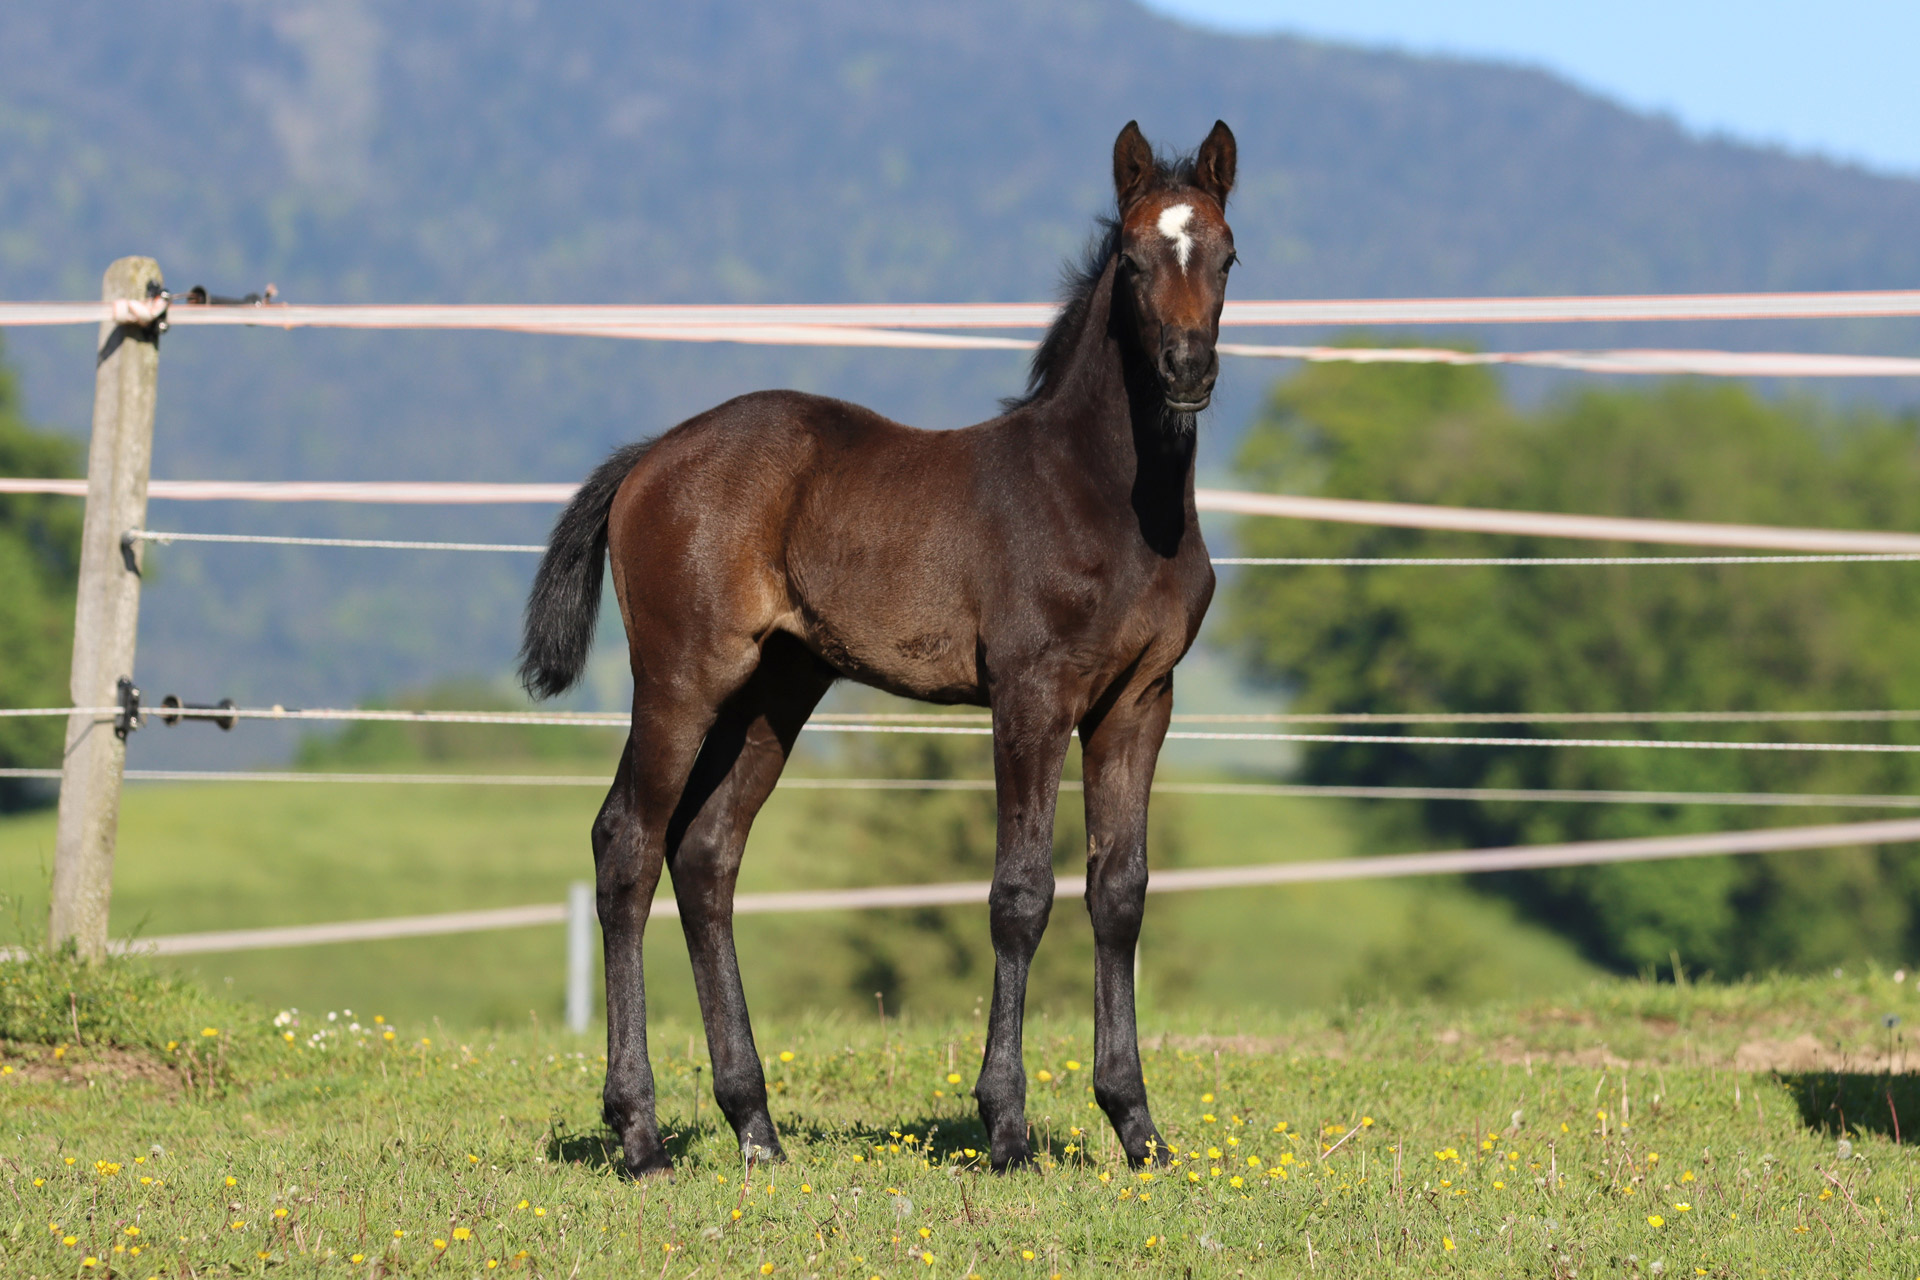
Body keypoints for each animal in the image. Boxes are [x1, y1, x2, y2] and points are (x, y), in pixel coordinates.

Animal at [518, 122, 1236, 1182]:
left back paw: (756, 1126)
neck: (1106, 496)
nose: (1188, 370)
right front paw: (1006, 1128)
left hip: (778, 687)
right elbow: (1020, 893)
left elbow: (1120, 892)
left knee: (707, 853)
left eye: (1226, 257)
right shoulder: (1032, 694)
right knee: (628, 846)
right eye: (1139, 260)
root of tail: (651, 456)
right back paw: (640, 1134)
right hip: (684, 676)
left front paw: (1137, 1127)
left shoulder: (1140, 700)